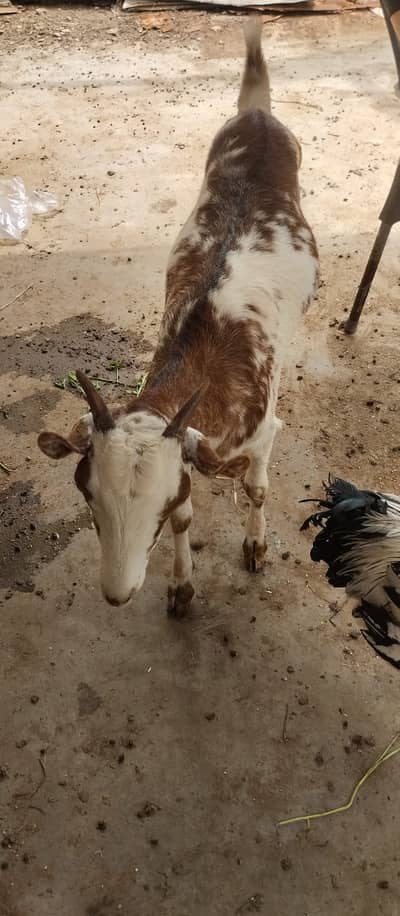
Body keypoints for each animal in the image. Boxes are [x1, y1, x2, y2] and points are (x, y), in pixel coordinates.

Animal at [38, 19, 319, 616]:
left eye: (160, 503)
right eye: (87, 495)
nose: (118, 592)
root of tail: (256, 112)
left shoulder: (263, 433)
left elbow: (257, 488)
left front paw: (255, 546)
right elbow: (191, 523)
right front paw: (181, 586)